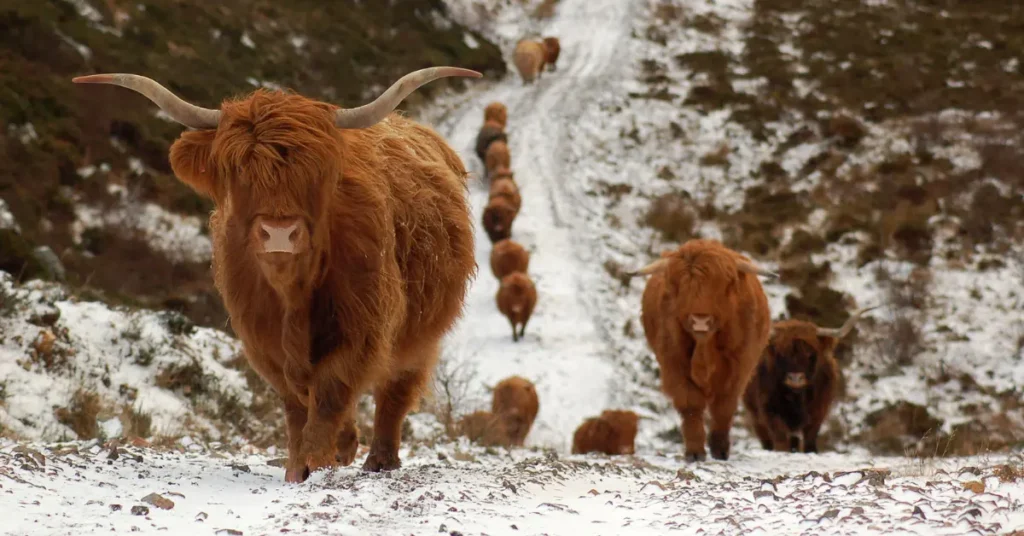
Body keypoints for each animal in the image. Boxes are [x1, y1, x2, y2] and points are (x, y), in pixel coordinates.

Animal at [72, 66, 482, 483]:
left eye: (316, 172)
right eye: (238, 169)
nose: (279, 232)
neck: (291, 291)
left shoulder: (362, 325)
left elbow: (331, 390)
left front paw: (319, 458)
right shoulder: (261, 339)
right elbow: (296, 404)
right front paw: (302, 465)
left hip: (422, 333)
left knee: (396, 391)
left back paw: (380, 460)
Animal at [630, 239, 776, 461]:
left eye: (724, 284)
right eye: (680, 285)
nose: (700, 320)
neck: (705, 348)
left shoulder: (738, 368)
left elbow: (724, 407)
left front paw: (720, 449)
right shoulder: (674, 364)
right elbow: (691, 405)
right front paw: (695, 451)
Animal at [743, 305, 878, 453]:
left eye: (810, 354)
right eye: (781, 354)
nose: (795, 378)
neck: (796, 396)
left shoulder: (818, 410)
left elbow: (810, 439)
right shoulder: (769, 409)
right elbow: (780, 437)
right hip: (754, 414)